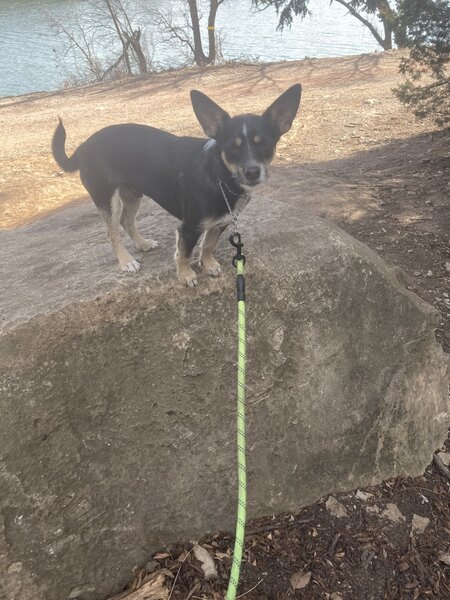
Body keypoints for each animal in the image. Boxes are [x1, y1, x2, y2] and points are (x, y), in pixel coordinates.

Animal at [51, 84, 300, 286]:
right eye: (232, 147)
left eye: (265, 144)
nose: (252, 172)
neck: (217, 175)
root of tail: (82, 147)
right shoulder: (188, 228)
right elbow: (184, 253)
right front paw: (186, 275)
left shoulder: (221, 222)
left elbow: (208, 245)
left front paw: (208, 264)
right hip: (108, 199)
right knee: (112, 232)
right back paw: (126, 261)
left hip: (132, 195)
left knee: (126, 221)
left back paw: (142, 244)